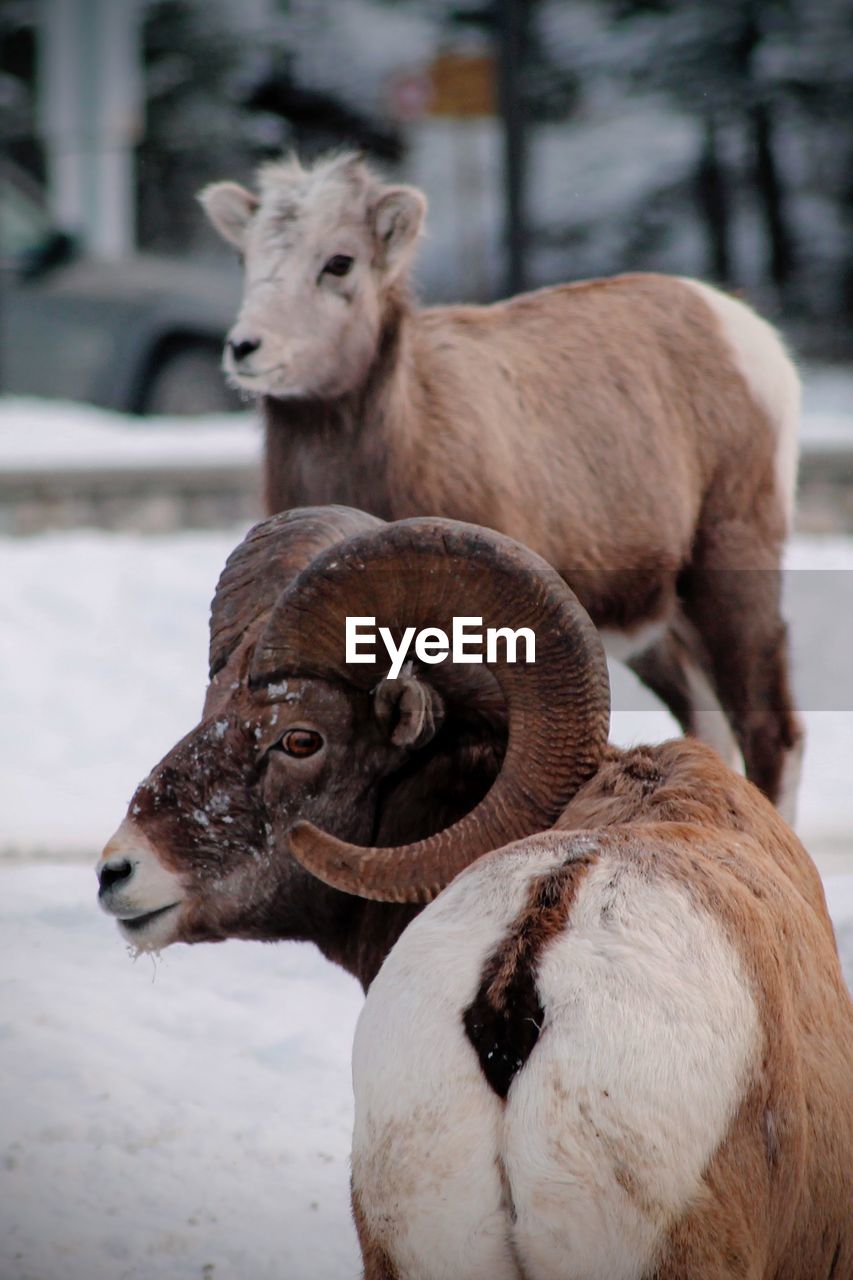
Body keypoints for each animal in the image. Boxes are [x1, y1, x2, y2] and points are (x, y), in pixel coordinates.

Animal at [202, 147, 799, 808]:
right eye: (245, 257)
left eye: (339, 262)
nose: (246, 348)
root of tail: (748, 332)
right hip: (657, 628)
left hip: (731, 569)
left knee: (771, 730)